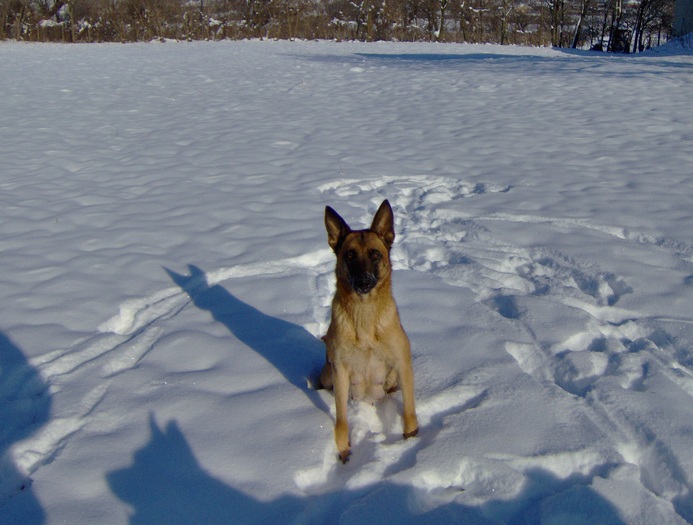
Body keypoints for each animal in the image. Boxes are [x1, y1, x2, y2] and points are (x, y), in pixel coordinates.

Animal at [318, 200, 416, 462]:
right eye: (349, 255)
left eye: (375, 254)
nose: (363, 281)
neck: (364, 317)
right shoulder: (340, 370)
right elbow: (341, 420)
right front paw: (343, 452)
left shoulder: (402, 364)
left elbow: (410, 412)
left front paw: (412, 440)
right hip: (328, 374)